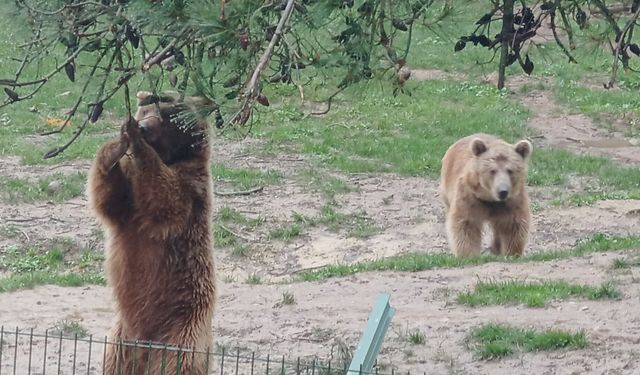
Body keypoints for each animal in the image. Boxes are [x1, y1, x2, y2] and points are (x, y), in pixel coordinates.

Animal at [87, 92, 218, 375]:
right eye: (145, 110)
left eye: (167, 115)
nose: (144, 127)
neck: (171, 156)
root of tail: (144, 350)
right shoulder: (128, 205)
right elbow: (108, 198)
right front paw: (117, 143)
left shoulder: (192, 186)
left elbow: (164, 198)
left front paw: (137, 143)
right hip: (119, 342)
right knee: (113, 361)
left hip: (183, 331)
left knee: (179, 362)